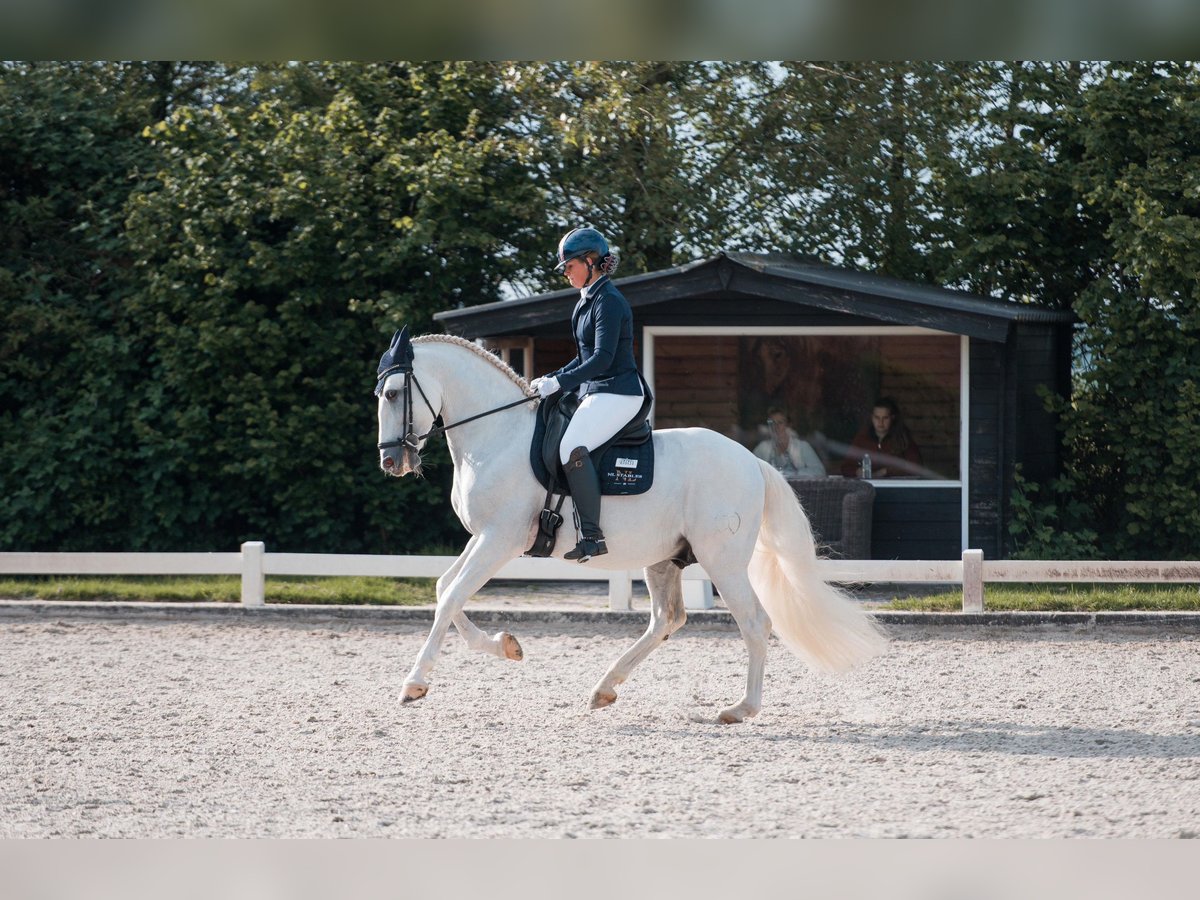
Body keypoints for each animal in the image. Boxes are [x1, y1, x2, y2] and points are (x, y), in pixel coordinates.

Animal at [376, 331, 892, 724]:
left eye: (394, 394)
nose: (391, 462)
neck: (497, 437)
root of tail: (751, 462)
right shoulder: (481, 537)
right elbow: (444, 589)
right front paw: (507, 646)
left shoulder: (498, 539)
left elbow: (452, 596)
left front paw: (414, 685)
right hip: (664, 558)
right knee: (667, 618)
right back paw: (605, 688)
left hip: (722, 560)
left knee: (754, 622)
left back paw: (740, 709)